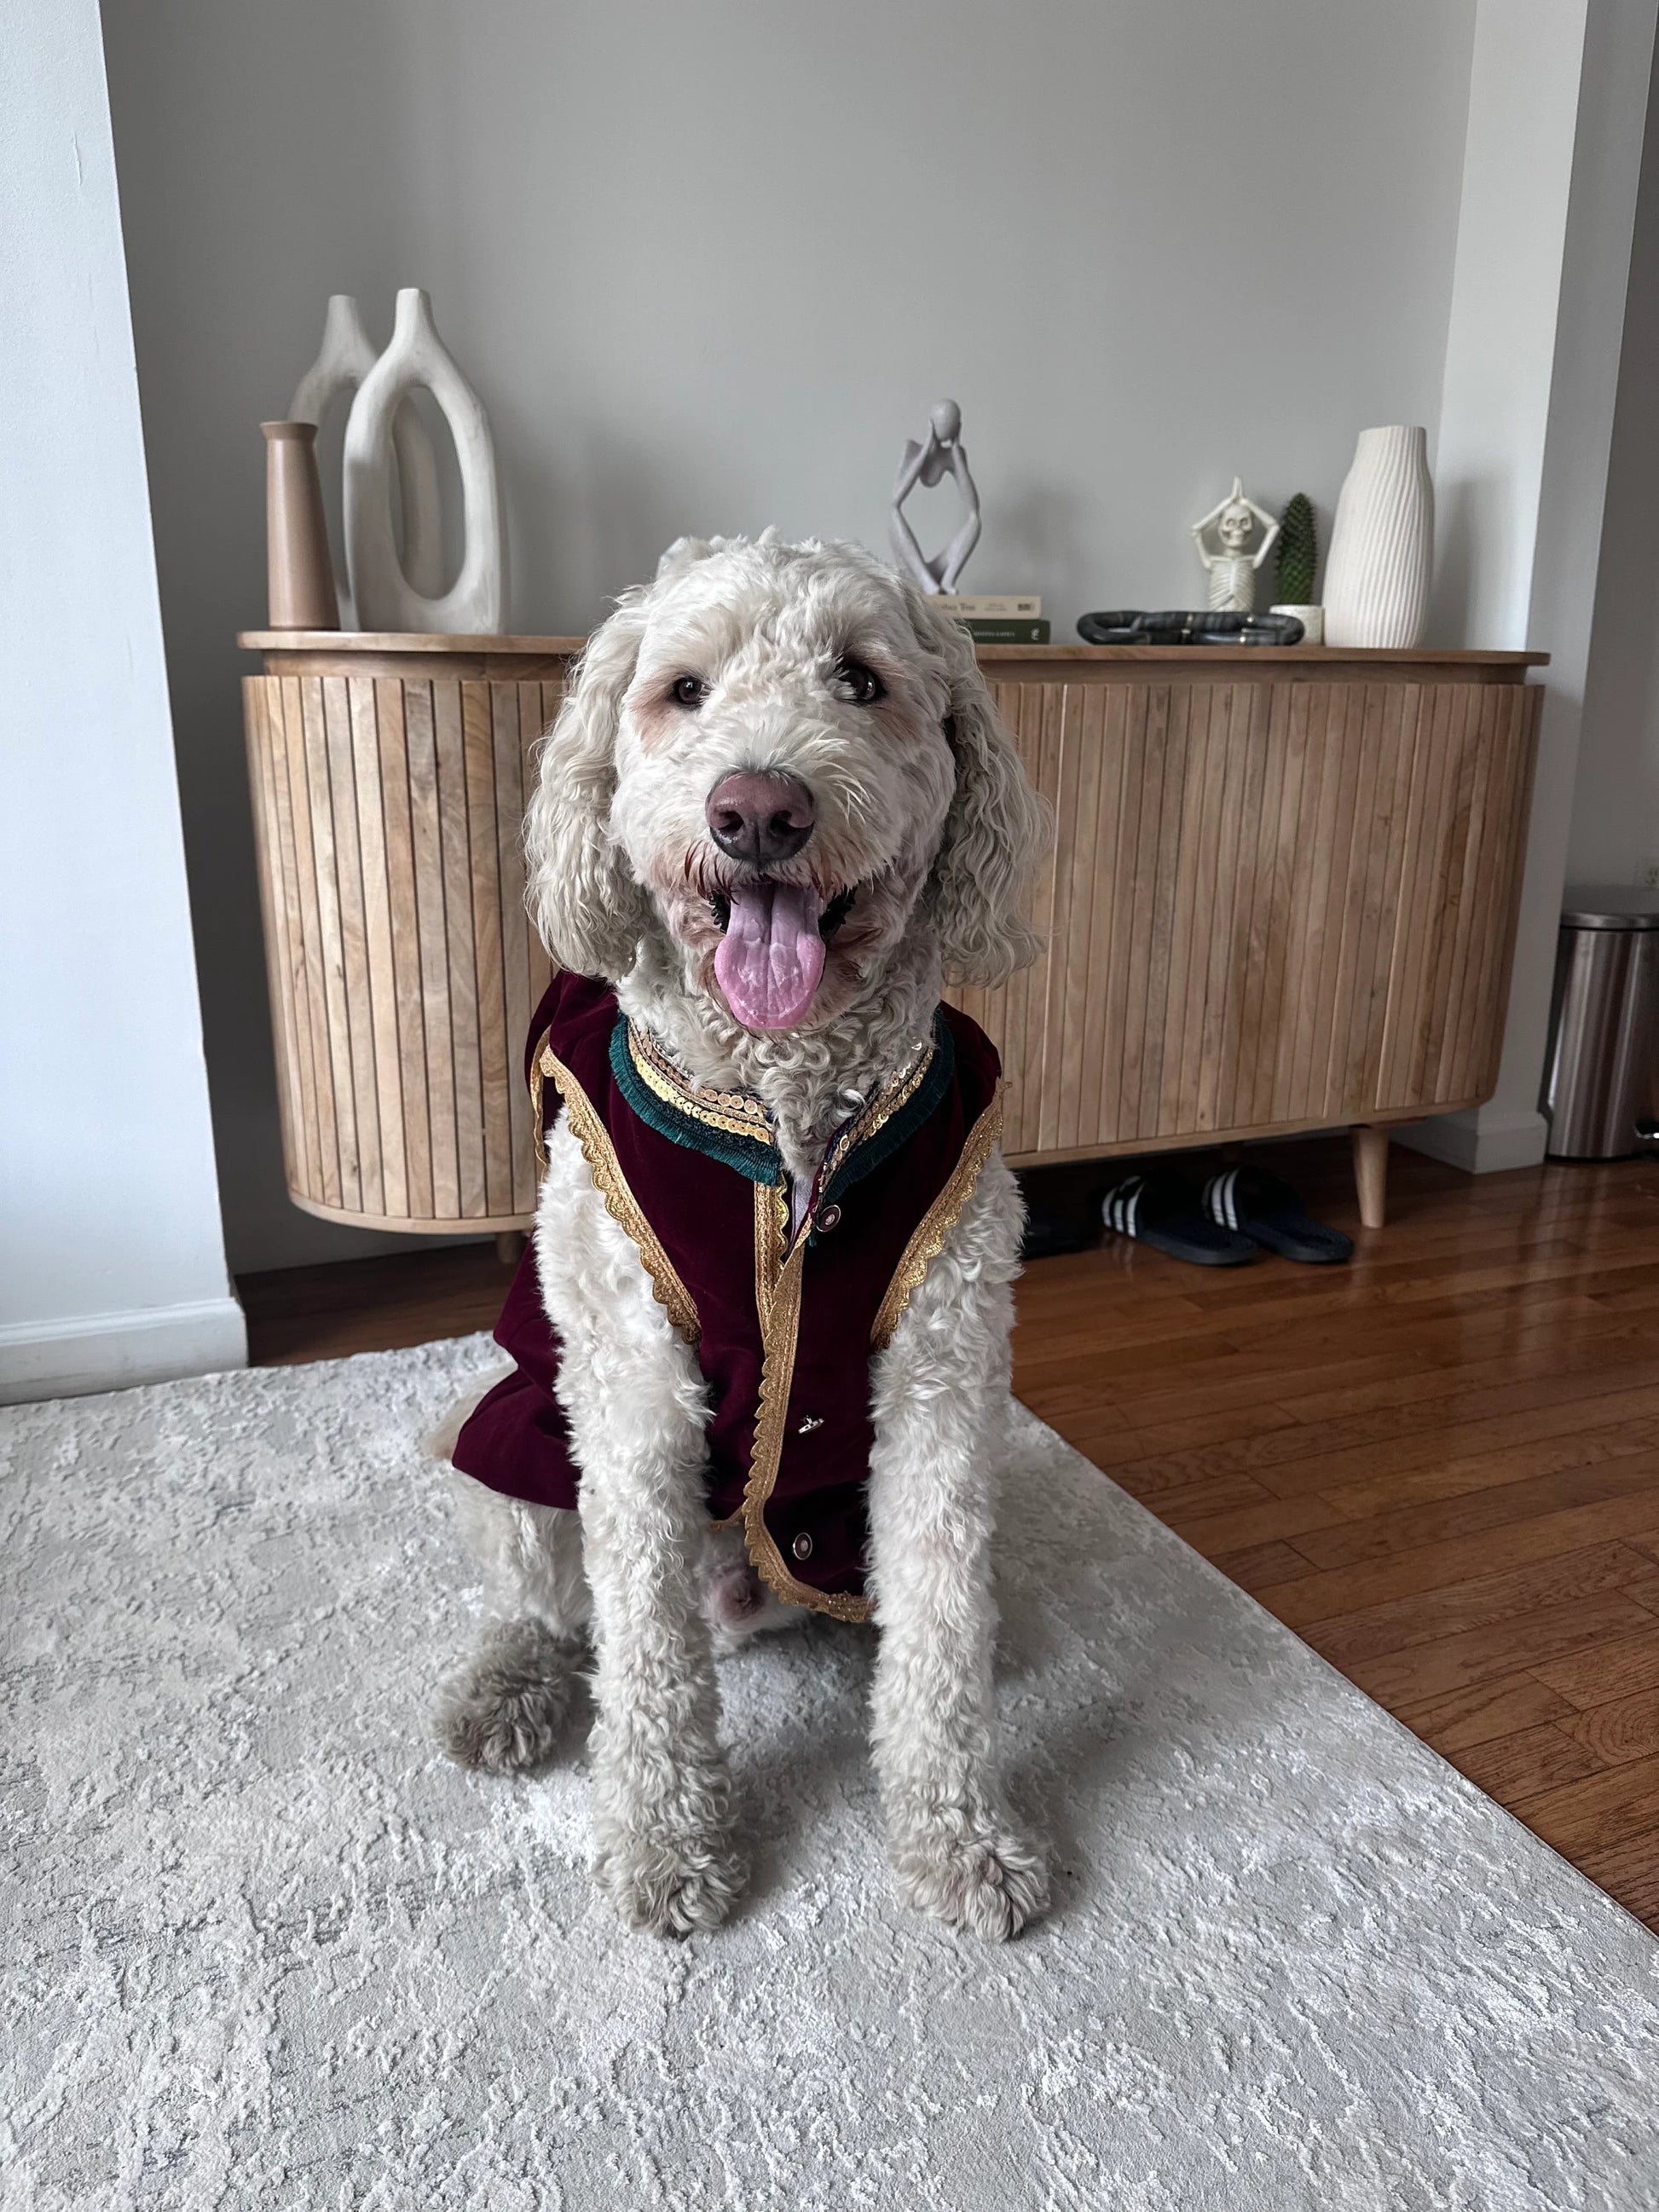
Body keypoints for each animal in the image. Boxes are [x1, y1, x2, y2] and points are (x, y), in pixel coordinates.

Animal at [436, 530, 1043, 1938]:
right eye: (683, 689)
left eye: (860, 679)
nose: (757, 809)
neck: (787, 1100)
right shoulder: (629, 1396)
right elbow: (645, 1648)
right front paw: (666, 1843)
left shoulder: (940, 1377)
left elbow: (939, 1624)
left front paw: (956, 1832)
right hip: (523, 1427)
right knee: (538, 1595)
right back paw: (505, 1689)